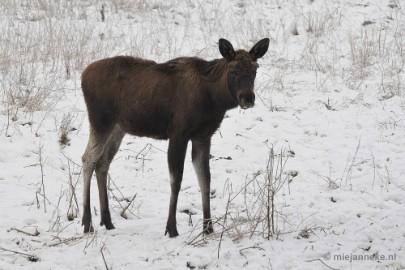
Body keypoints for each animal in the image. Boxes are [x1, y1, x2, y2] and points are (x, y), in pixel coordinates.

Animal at [79, 37, 268, 236]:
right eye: (233, 71)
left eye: (255, 70)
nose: (248, 98)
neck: (213, 99)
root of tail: (83, 75)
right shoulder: (178, 133)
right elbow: (176, 180)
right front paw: (171, 228)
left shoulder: (203, 136)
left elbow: (205, 180)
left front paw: (208, 227)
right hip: (100, 121)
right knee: (88, 159)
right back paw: (87, 222)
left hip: (118, 127)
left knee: (102, 162)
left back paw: (107, 221)